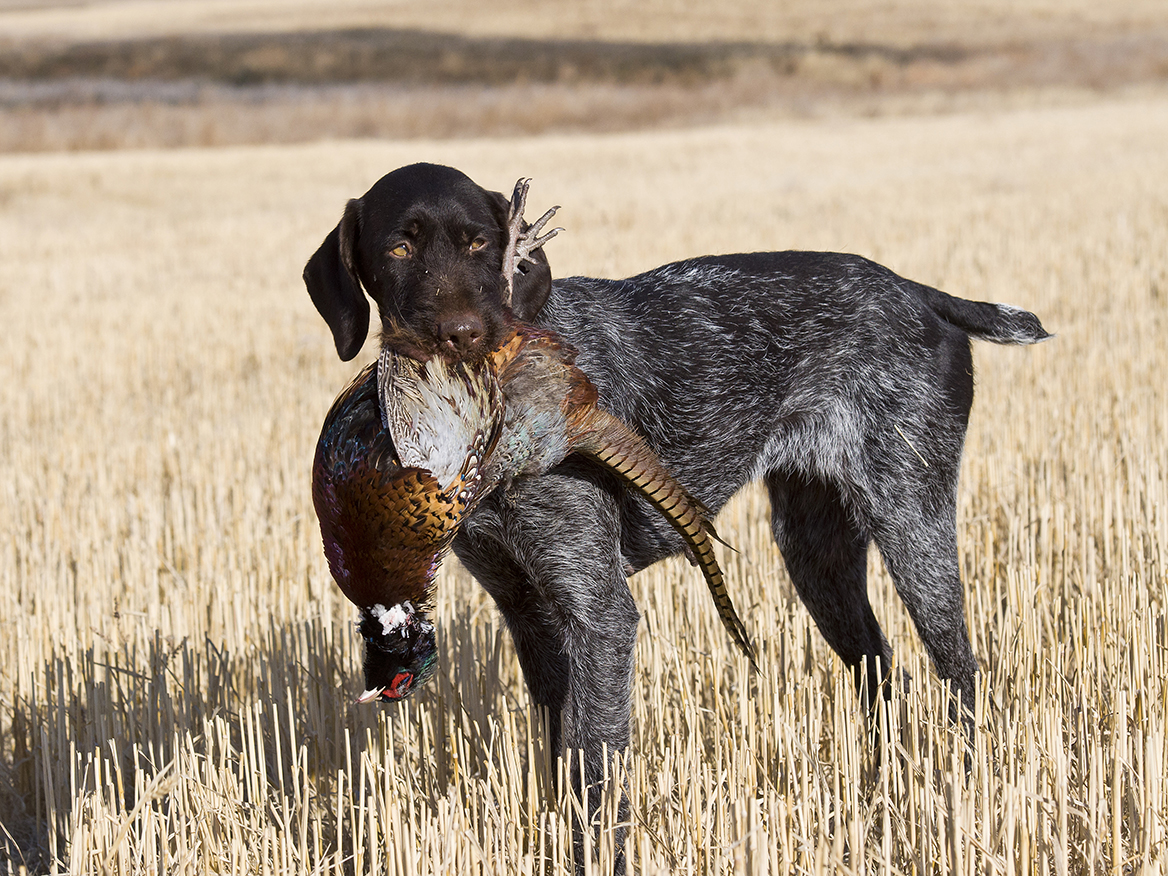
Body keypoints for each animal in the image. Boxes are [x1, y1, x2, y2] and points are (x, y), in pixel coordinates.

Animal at [301, 161, 1051, 868]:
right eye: (399, 246)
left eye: (479, 242)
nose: (463, 335)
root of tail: (918, 292)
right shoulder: (529, 614)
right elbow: (560, 759)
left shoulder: (599, 614)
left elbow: (598, 773)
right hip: (816, 553)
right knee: (880, 671)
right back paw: (882, 790)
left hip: (912, 525)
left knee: (960, 676)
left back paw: (964, 791)